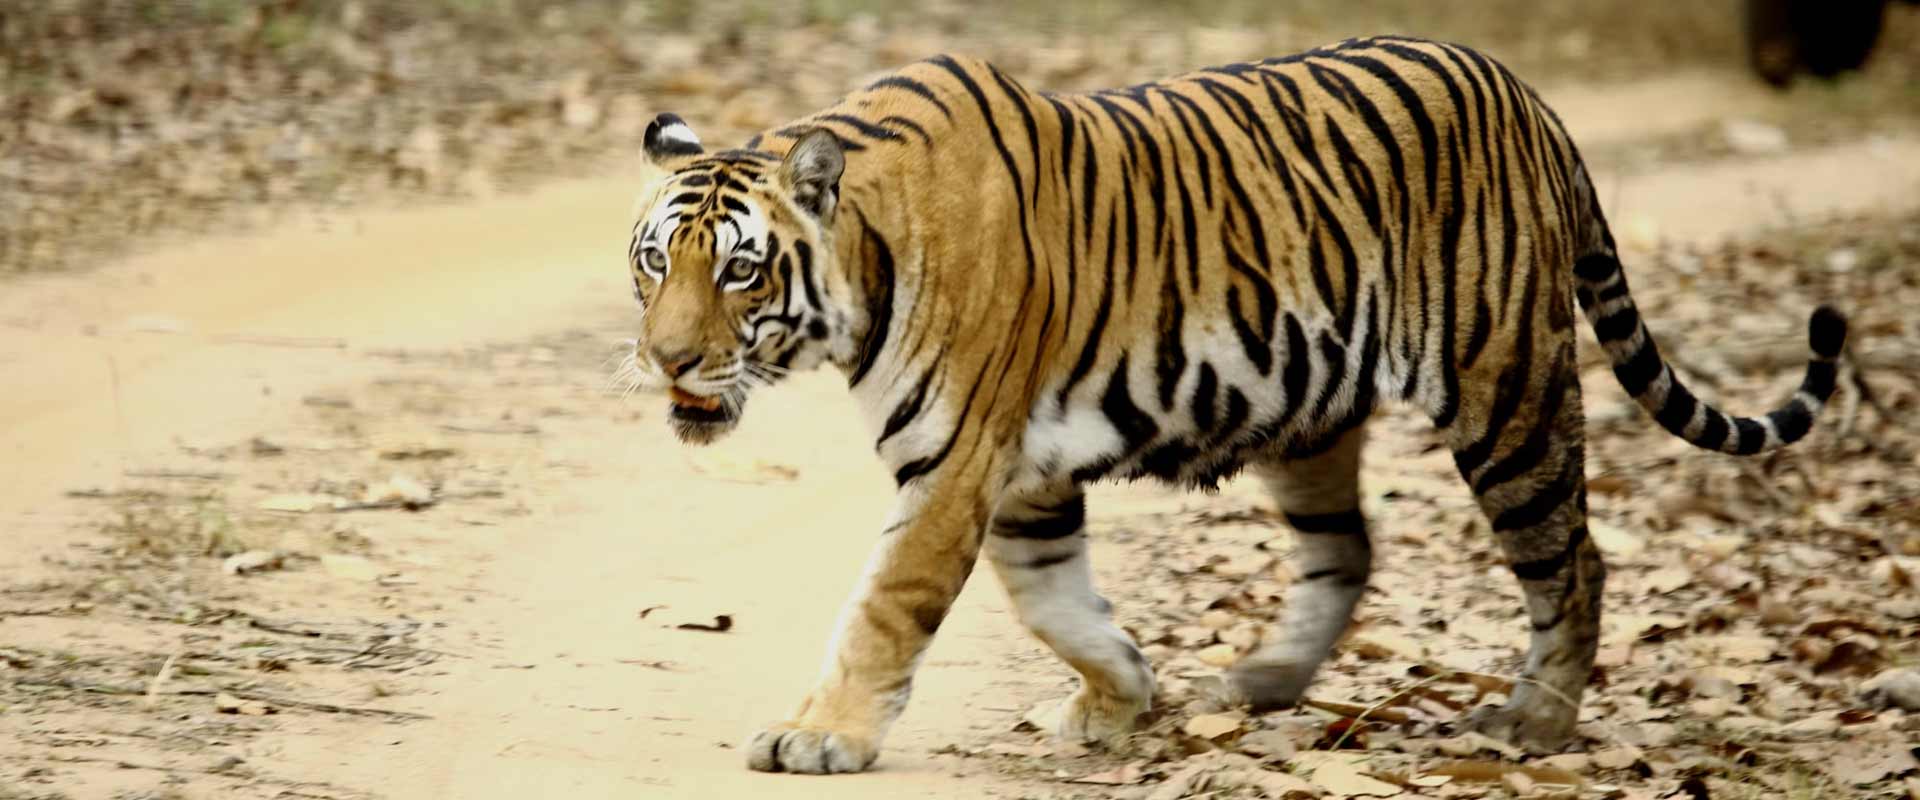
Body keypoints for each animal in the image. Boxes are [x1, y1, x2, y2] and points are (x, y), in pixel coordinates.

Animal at [621, 35, 1847, 774]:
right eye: (653, 263)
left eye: (740, 273)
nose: (667, 359)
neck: (866, 264)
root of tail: (1526, 93)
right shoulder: (1022, 473)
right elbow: (1055, 600)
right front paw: (1122, 699)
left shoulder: (956, 461)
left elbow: (885, 607)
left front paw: (818, 736)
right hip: (1310, 407)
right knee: (1348, 548)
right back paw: (1260, 679)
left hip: (1507, 391)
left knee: (1574, 557)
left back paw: (1534, 720)